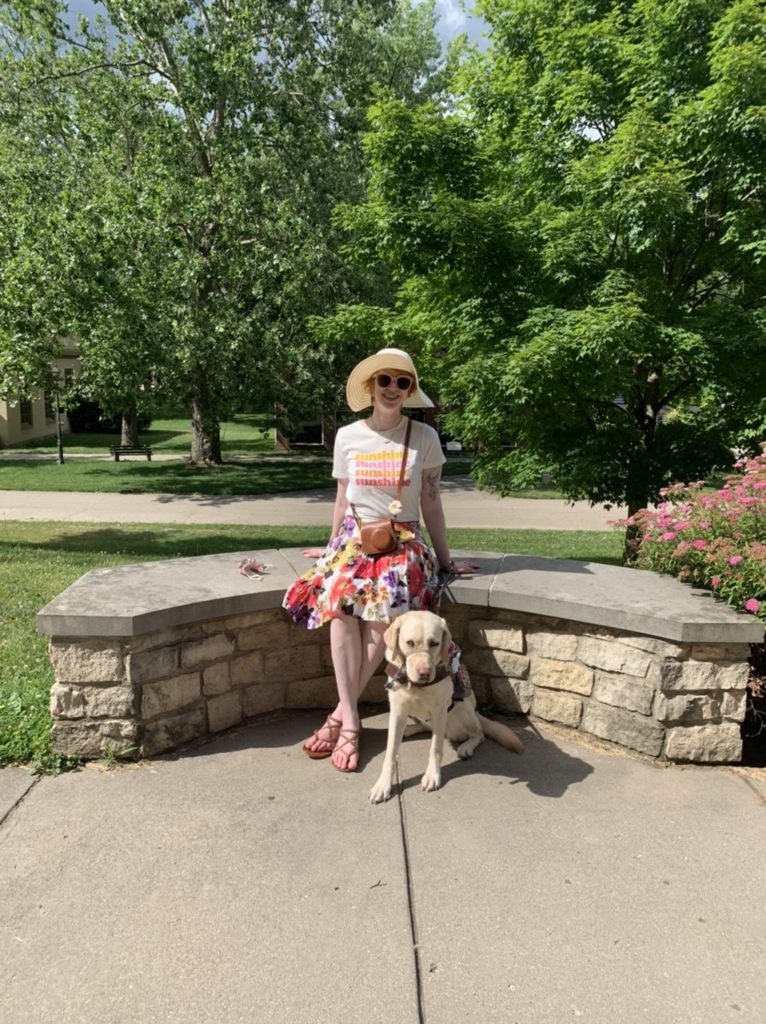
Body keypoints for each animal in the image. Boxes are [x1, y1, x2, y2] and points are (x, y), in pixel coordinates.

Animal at [368, 610, 524, 802]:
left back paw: (466, 746)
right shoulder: (397, 711)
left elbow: (435, 747)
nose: (424, 673)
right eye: (410, 643)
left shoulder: (440, 711)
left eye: (434, 643)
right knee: (426, 725)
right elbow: (390, 752)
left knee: (479, 732)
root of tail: (475, 711)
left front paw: (432, 776)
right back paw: (409, 729)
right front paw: (383, 785)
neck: (415, 685)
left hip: (461, 713)